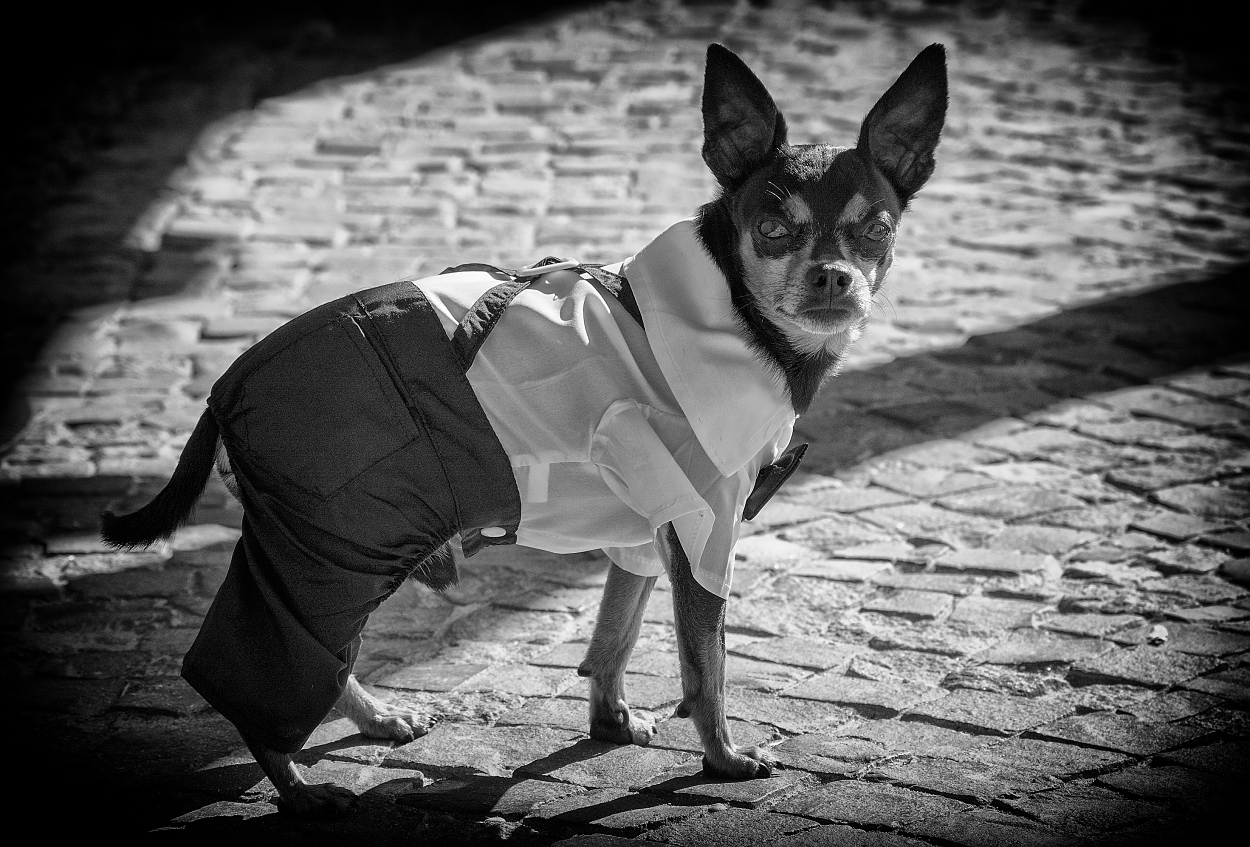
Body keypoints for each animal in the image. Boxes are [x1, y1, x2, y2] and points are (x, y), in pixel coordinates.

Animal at [101, 43, 946, 818]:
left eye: (875, 231)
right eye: (772, 227)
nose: (834, 275)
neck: (736, 319)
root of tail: (229, 383)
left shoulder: (648, 528)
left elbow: (614, 636)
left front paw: (609, 722)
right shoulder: (703, 530)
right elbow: (705, 667)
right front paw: (722, 759)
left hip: (326, 547)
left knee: (311, 659)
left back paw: (375, 719)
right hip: (338, 547)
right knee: (266, 670)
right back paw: (299, 787)